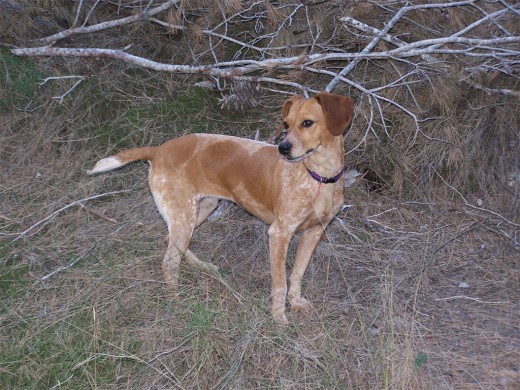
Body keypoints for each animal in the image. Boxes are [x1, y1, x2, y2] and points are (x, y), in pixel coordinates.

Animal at [88, 91, 354, 322]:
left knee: (170, 242)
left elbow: (297, 274)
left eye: (308, 123)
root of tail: (158, 150)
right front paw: (279, 319)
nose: (283, 148)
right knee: (169, 262)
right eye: (286, 124)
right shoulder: (279, 234)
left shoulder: (314, 232)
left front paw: (296, 303)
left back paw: (202, 266)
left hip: (199, 210)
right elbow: (280, 282)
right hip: (184, 215)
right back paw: (176, 302)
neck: (319, 178)